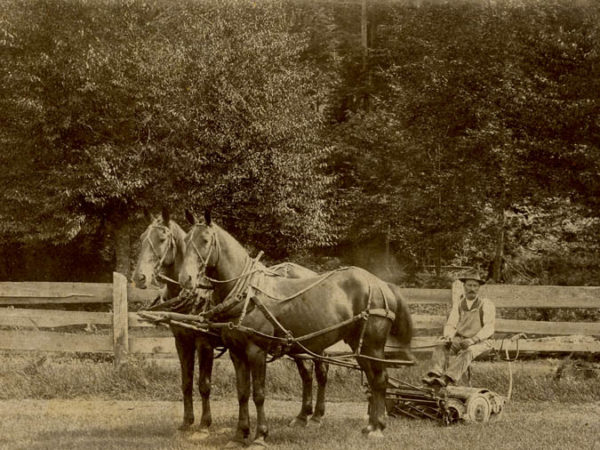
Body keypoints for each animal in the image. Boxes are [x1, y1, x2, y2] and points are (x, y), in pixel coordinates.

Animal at [132, 211, 332, 432]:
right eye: (142, 238)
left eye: (162, 239)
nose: (140, 277)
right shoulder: (182, 342)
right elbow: (186, 383)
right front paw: (187, 421)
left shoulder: (204, 344)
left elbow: (204, 384)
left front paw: (205, 423)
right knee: (306, 373)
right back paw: (303, 416)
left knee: (320, 371)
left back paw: (317, 415)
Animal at [178, 210, 412, 442]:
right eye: (185, 241)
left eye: (205, 240)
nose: (185, 278)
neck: (247, 294)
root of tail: (381, 284)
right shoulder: (236, 352)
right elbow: (242, 392)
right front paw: (240, 433)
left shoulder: (256, 351)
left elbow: (259, 394)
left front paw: (260, 435)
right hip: (359, 345)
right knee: (370, 379)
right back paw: (370, 424)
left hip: (372, 345)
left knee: (379, 380)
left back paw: (377, 427)